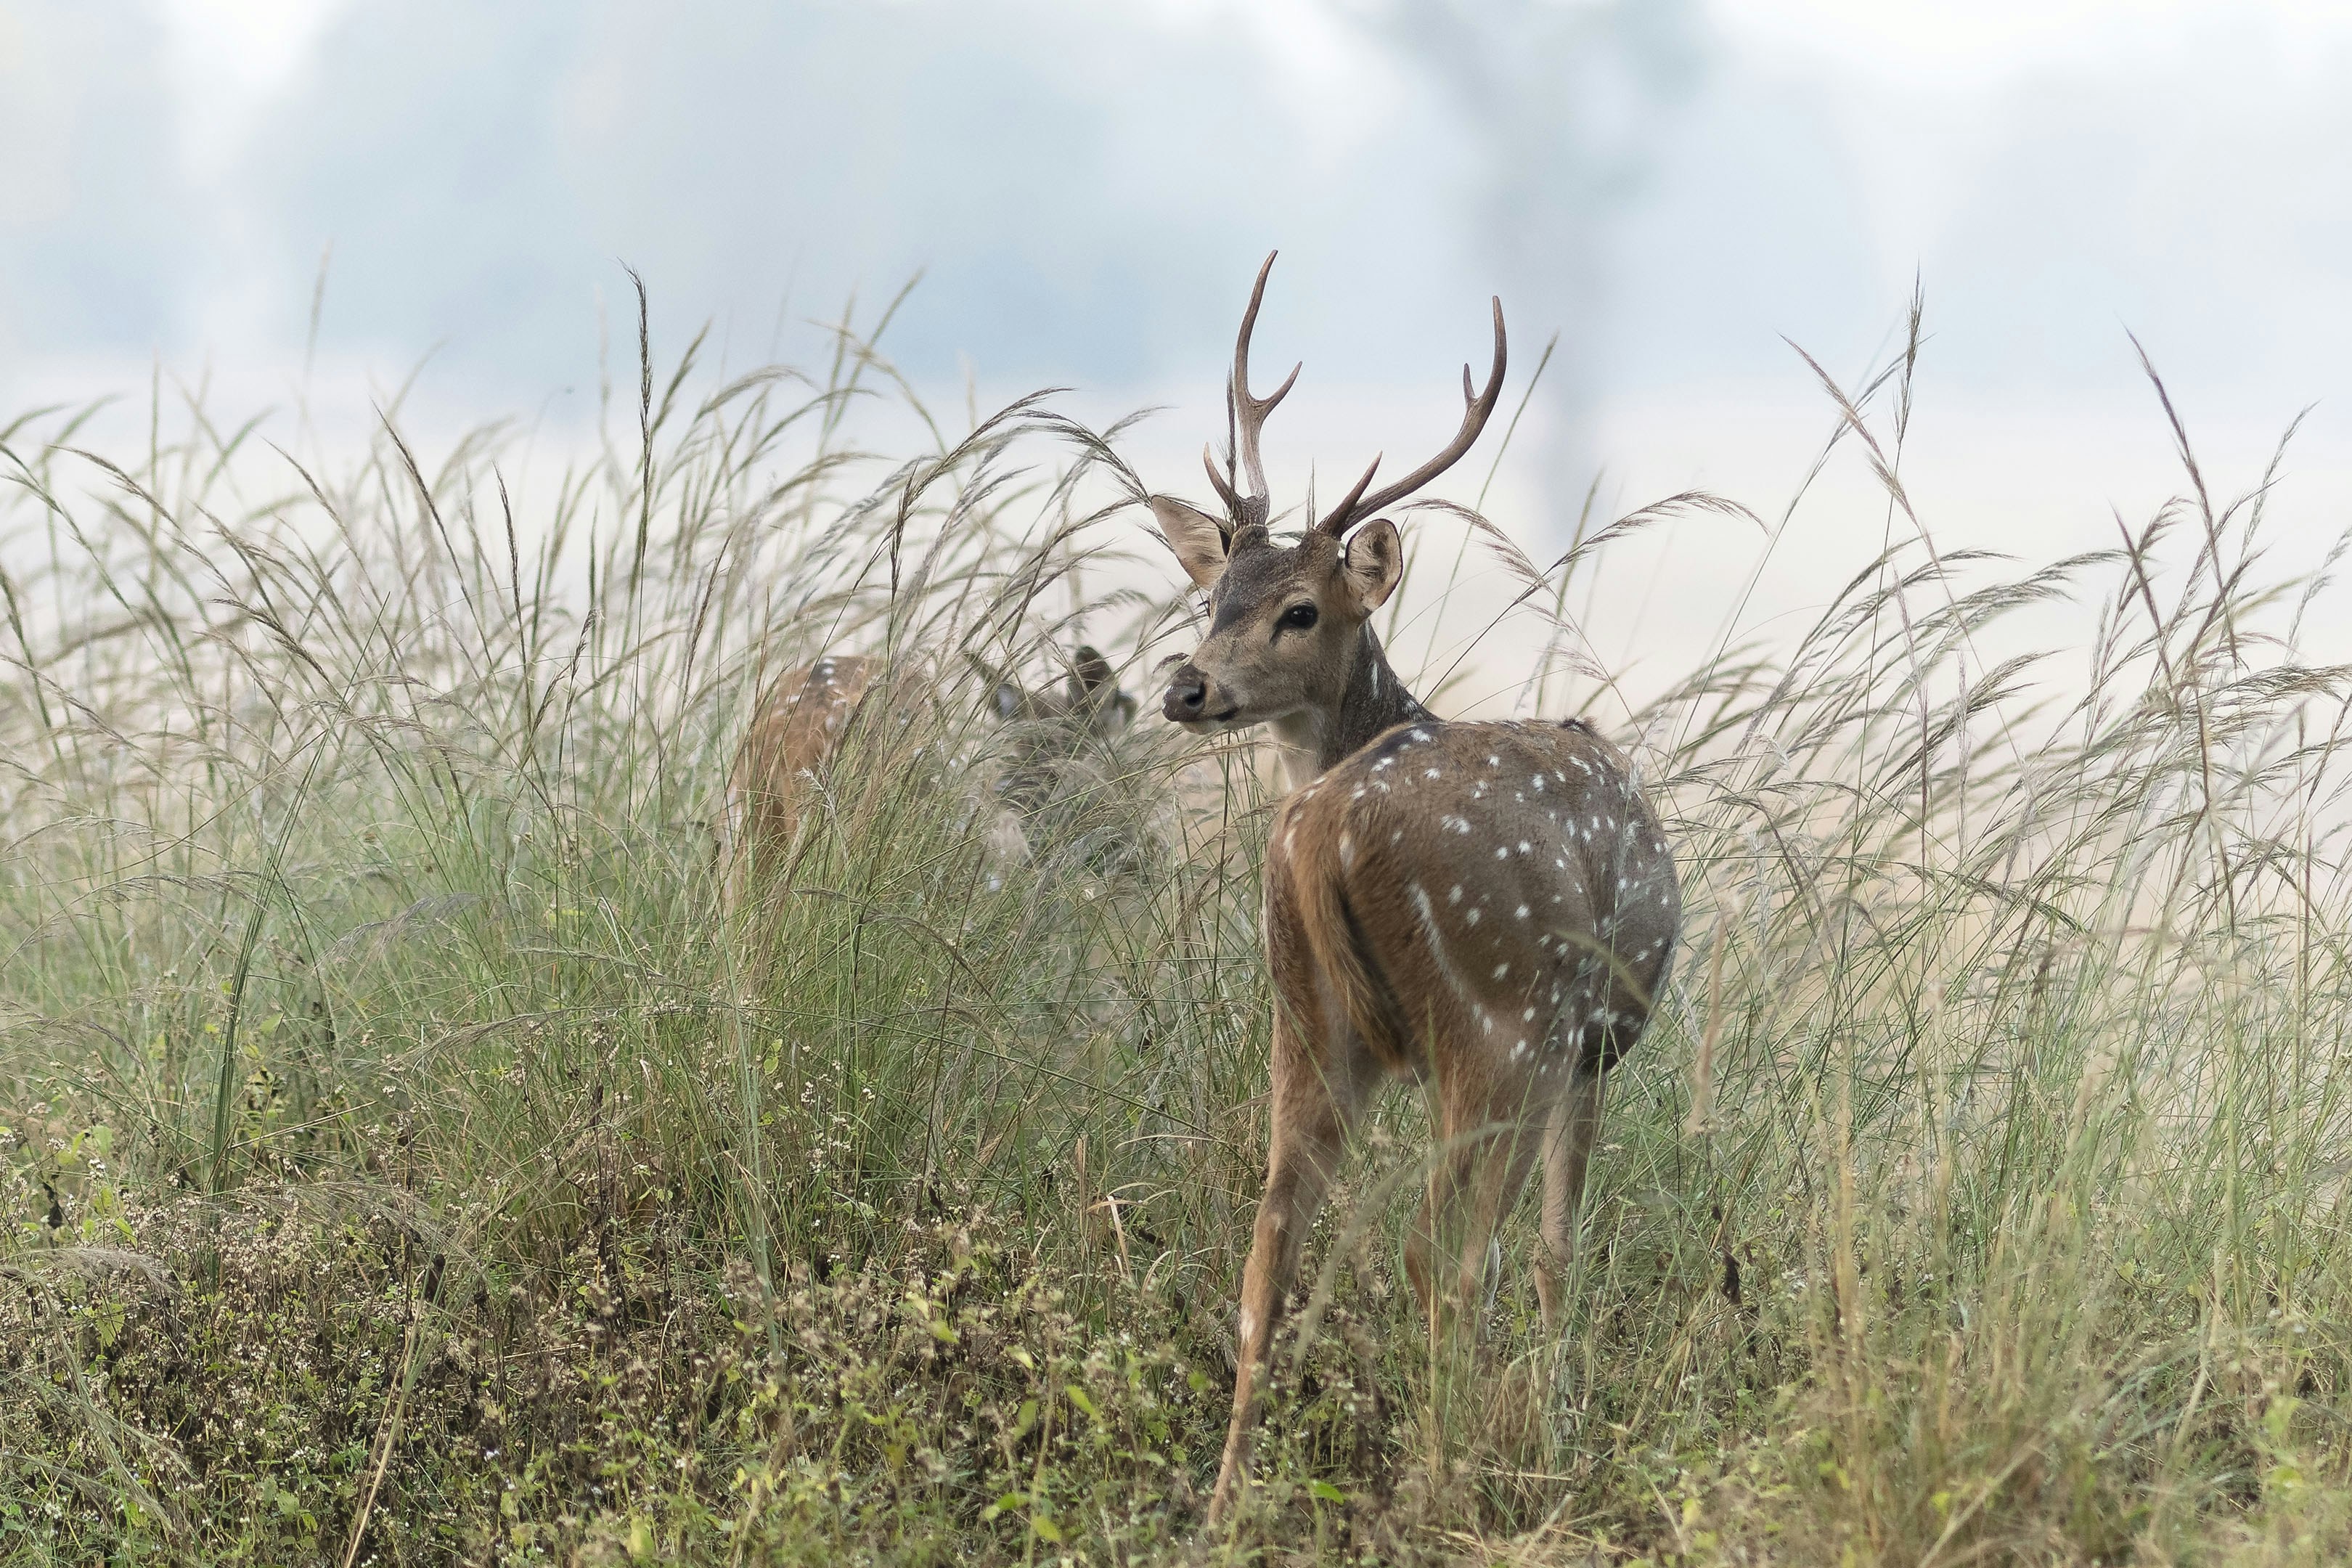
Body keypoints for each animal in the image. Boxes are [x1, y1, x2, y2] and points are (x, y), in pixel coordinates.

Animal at [1144, 254, 1682, 1523]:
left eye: (1295, 608)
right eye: (1212, 599)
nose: (1187, 686)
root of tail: (1328, 830)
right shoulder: (1590, 1049)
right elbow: (1552, 1251)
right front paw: (1552, 1432)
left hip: (1305, 1018)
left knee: (1270, 1238)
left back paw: (1228, 1502)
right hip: (1499, 1019)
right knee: (1444, 1255)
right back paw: (1450, 1477)